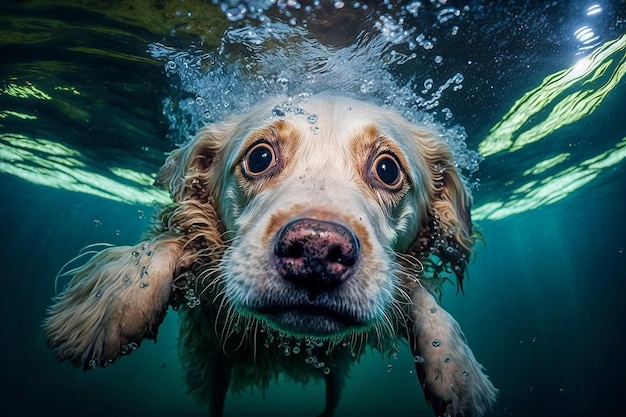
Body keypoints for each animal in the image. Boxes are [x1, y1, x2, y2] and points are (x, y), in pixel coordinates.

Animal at [42, 95, 492, 416]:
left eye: (387, 169)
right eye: (260, 157)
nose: (316, 250)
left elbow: (417, 294)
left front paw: (455, 368)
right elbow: (176, 238)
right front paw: (114, 304)